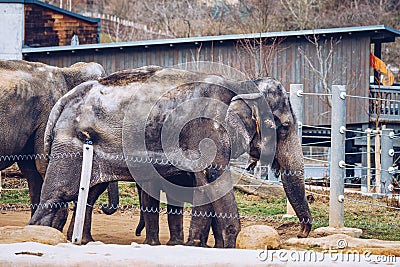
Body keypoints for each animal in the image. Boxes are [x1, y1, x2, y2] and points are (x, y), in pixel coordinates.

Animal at [31, 66, 312, 248]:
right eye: (285, 127)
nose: (301, 233)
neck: (242, 85)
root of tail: (65, 99)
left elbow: (204, 183)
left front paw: (200, 245)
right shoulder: (207, 130)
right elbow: (214, 178)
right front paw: (229, 244)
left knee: (87, 193)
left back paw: (79, 240)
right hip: (72, 144)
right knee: (58, 194)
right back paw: (40, 235)